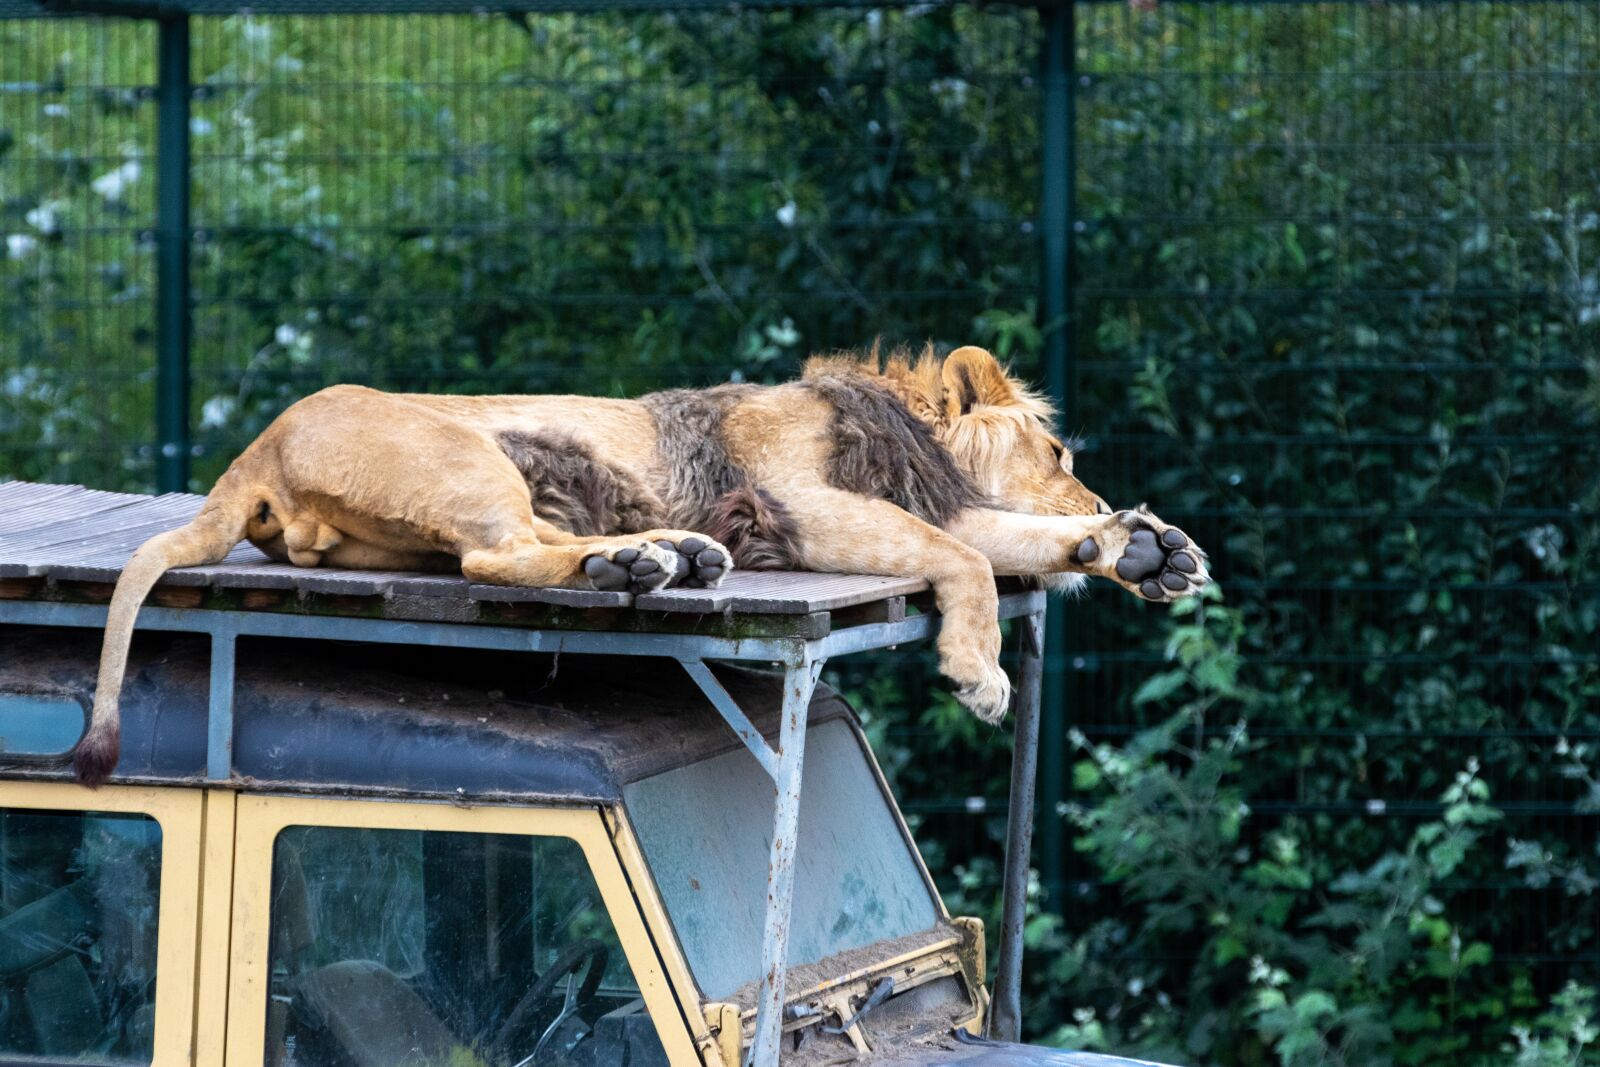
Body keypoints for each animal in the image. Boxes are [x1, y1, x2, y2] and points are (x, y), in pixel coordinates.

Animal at [72, 344, 1209, 786]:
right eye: (1058, 452)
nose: (1099, 503)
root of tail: (257, 449)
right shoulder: (796, 505)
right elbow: (959, 555)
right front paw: (980, 671)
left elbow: (998, 542)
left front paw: (1142, 547)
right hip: (469, 454)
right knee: (495, 555)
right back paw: (650, 562)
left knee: (527, 548)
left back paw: (664, 556)